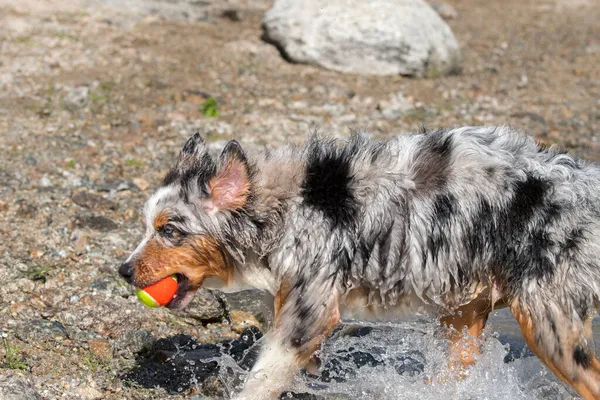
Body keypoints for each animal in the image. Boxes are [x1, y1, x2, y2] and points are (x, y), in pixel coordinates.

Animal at [119, 126, 600, 400]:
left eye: (170, 230)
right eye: (146, 225)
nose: (123, 271)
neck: (282, 208)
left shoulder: (308, 312)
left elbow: (261, 380)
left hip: (549, 325)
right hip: (465, 312)